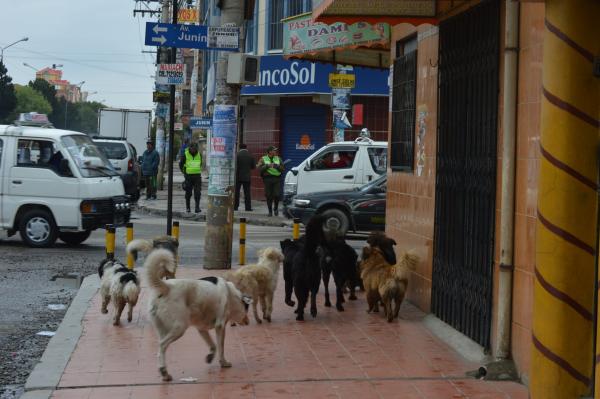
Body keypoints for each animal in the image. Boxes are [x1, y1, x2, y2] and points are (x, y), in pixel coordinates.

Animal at [145, 248, 253, 382]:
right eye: (247, 309)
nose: (248, 321)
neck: (232, 294)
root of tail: (166, 286)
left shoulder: (201, 328)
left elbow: (213, 345)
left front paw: (210, 356)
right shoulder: (220, 326)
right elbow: (221, 346)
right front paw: (223, 362)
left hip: (162, 328)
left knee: (161, 347)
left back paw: (164, 373)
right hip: (180, 327)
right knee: (162, 345)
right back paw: (163, 370)